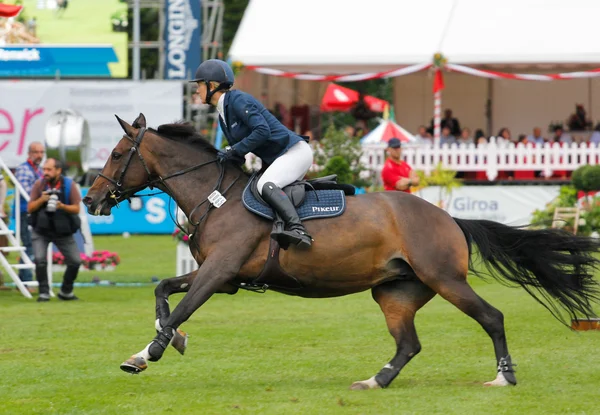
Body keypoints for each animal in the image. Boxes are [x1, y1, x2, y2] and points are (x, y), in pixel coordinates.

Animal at [83, 113, 600, 390]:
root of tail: (449, 218)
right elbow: (163, 292)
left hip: (445, 279)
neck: (217, 195)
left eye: (116, 154)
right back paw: (376, 382)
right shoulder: (223, 277)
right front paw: (165, 342)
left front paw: (149, 352)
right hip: (396, 291)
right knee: (408, 344)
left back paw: (503, 378)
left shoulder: (218, 272)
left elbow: (179, 307)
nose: (90, 199)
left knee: (491, 317)